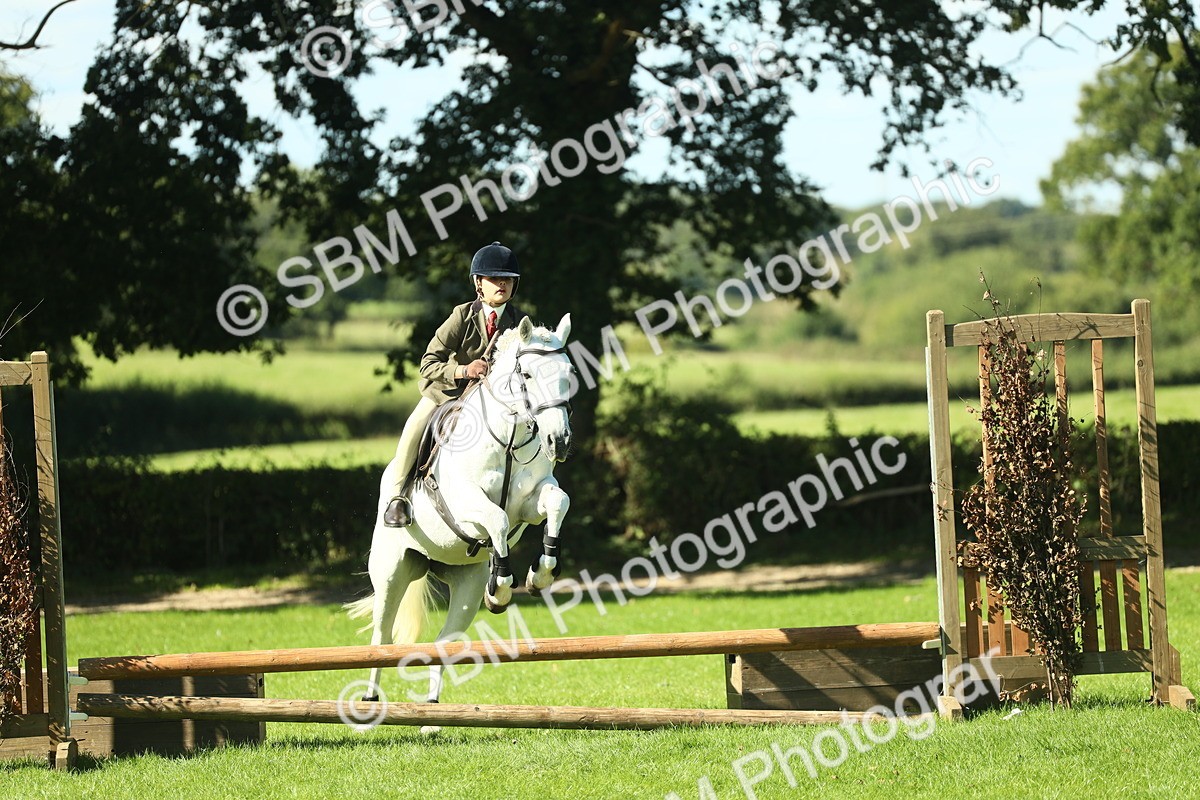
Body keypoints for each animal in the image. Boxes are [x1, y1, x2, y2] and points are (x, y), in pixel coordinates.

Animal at [346, 313, 575, 712]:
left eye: (568, 372)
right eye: (528, 375)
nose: (558, 442)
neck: (509, 435)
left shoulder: (530, 504)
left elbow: (556, 503)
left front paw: (540, 575)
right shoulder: (466, 503)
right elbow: (497, 518)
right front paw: (502, 587)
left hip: (465, 585)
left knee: (443, 641)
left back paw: (432, 706)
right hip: (392, 570)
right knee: (382, 635)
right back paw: (370, 697)